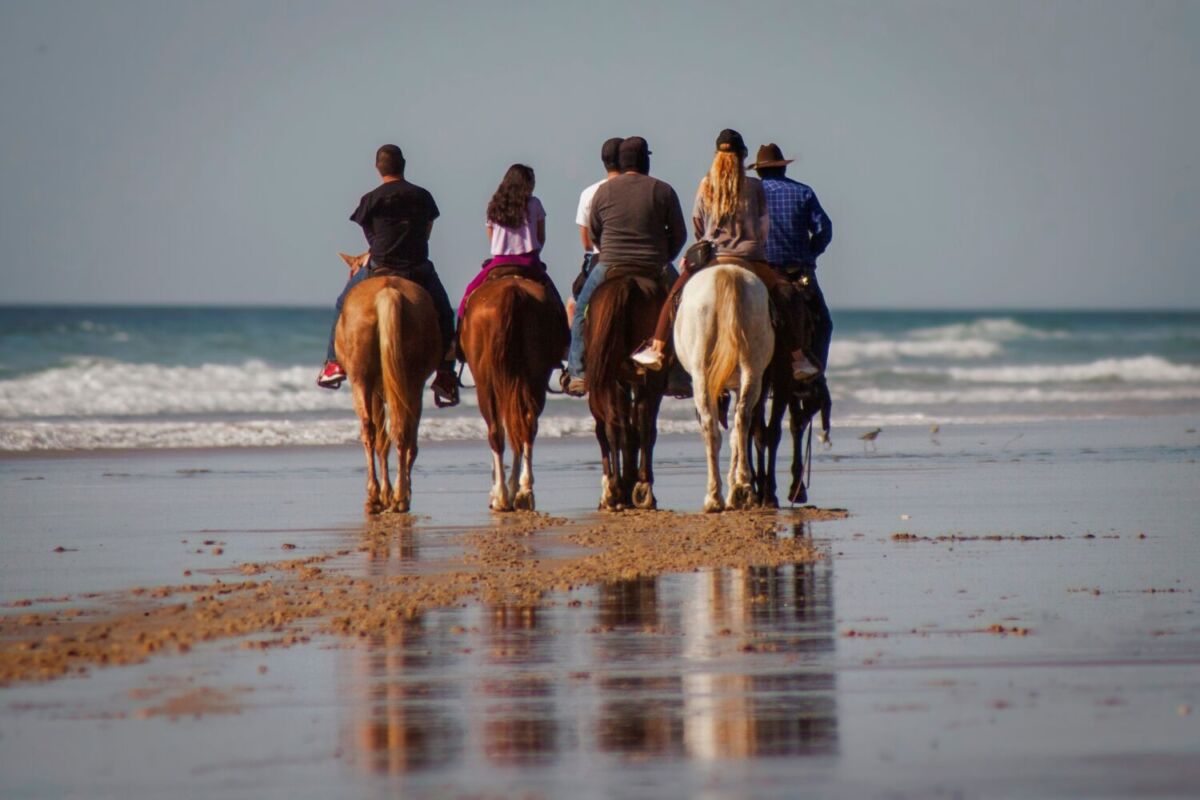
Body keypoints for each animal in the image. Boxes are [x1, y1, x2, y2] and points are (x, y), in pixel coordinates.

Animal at [334, 252, 442, 514]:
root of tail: (388, 293)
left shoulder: (373, 392)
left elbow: (381, 441)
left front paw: (385, 493)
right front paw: (391, 492)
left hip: (364, 381)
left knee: (371, 430)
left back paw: (379, 496)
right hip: (411, 383)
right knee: (404, 432)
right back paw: (401, 496)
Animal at [458, 270, 569, 511]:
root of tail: (512, 292)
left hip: (486, 382)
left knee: (496, 432)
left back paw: (501, 495)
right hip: (535, 376)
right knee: (526, 424)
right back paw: (524, 491)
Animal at [584, 267, 668, 511]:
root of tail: (626, 283)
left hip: (612, 378)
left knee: (614, 426)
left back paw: (618, 490)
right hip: (649, 378)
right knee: (643, 424)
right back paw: (641, 487)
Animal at [674, 262, 775, 513]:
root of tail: (728, 273)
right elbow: (737, 436)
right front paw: (736, 490)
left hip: (701, 373)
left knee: (710, 427)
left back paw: (713, 497)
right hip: (752, 369)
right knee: (743, 418)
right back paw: (744, 488)